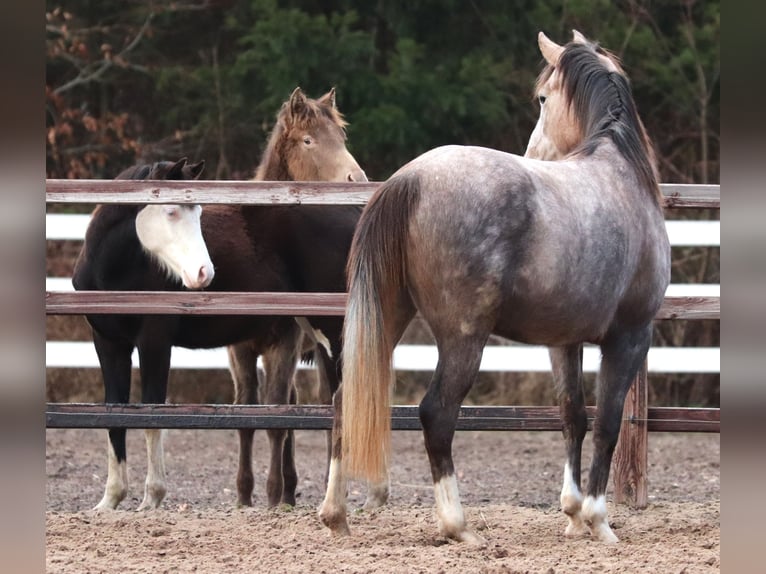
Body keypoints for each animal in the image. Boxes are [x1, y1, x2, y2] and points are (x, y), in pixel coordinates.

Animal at [74, 88, 368, 510]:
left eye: (198, 211)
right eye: (171, 210)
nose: (203, 273)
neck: (116, 269)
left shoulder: (155, 341)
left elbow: (153, 412)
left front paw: (152, 497)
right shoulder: (108, 343)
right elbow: (115, 414)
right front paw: (110, 499)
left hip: (334, 335)